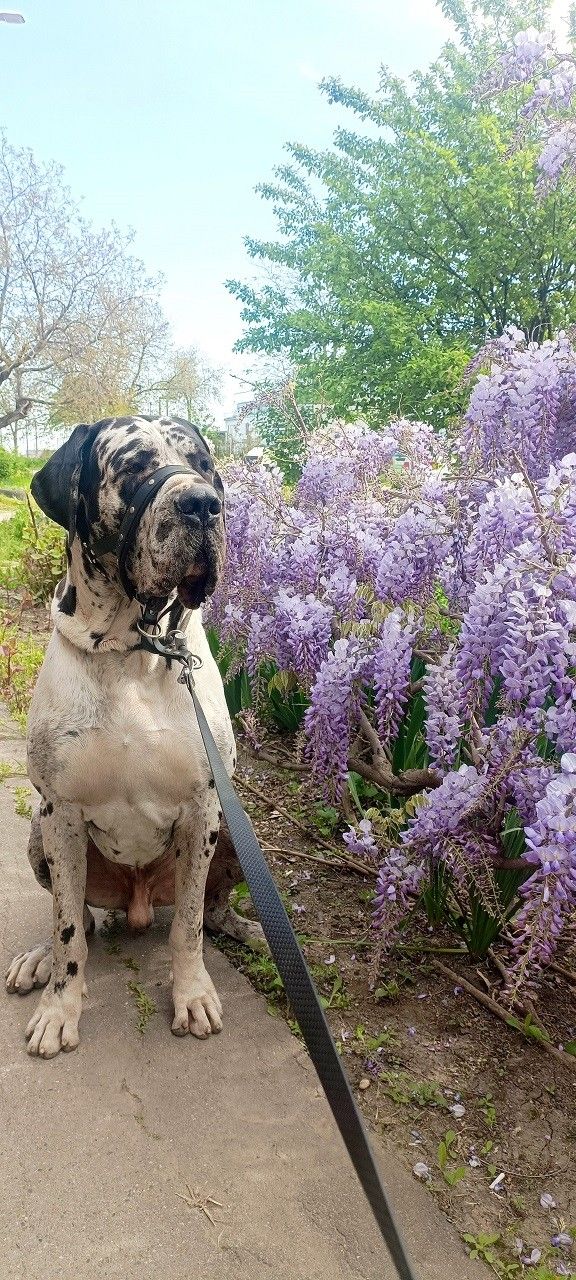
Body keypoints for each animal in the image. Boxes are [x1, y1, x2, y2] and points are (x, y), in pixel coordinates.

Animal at [5, 415, 263, 1058]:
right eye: (135, 465)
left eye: (203, 464)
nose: (202, 504)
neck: (131, 650)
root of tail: (141, 905)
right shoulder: (62, 811)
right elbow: (69, 929)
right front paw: (61, 1008)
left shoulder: (202, 807)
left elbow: (189, 926)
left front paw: (191, 993)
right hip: (39, 835)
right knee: (80, 921)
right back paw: (39, 960)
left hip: (235, 835)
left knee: (209, 915)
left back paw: (248, 930)